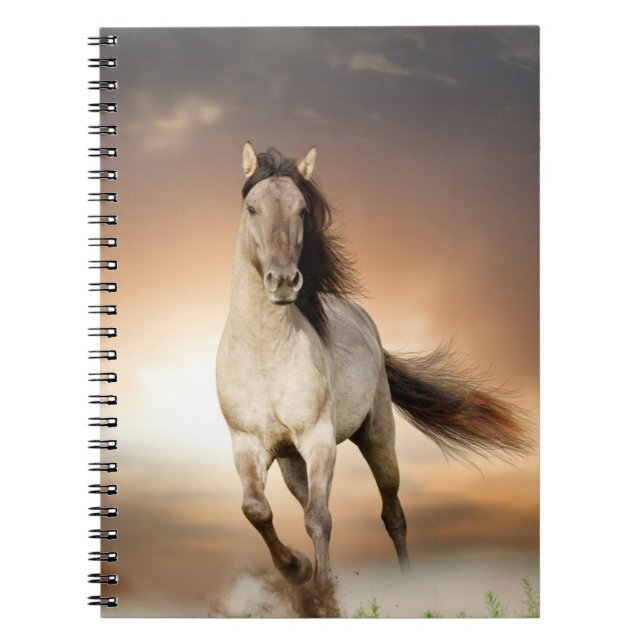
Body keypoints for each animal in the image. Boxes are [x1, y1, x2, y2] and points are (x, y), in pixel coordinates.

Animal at [216, 143, 530, 592]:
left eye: (302, 210)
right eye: (252, 208)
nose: (283, 281)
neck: (263, 356)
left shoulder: (319, 440)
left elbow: (319, 518)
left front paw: (322, 591)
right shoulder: (247, 444)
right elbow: (256, 510)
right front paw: (298, 568)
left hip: (377, 436)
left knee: (392, 513)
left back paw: (408, 586)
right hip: (293, 460)